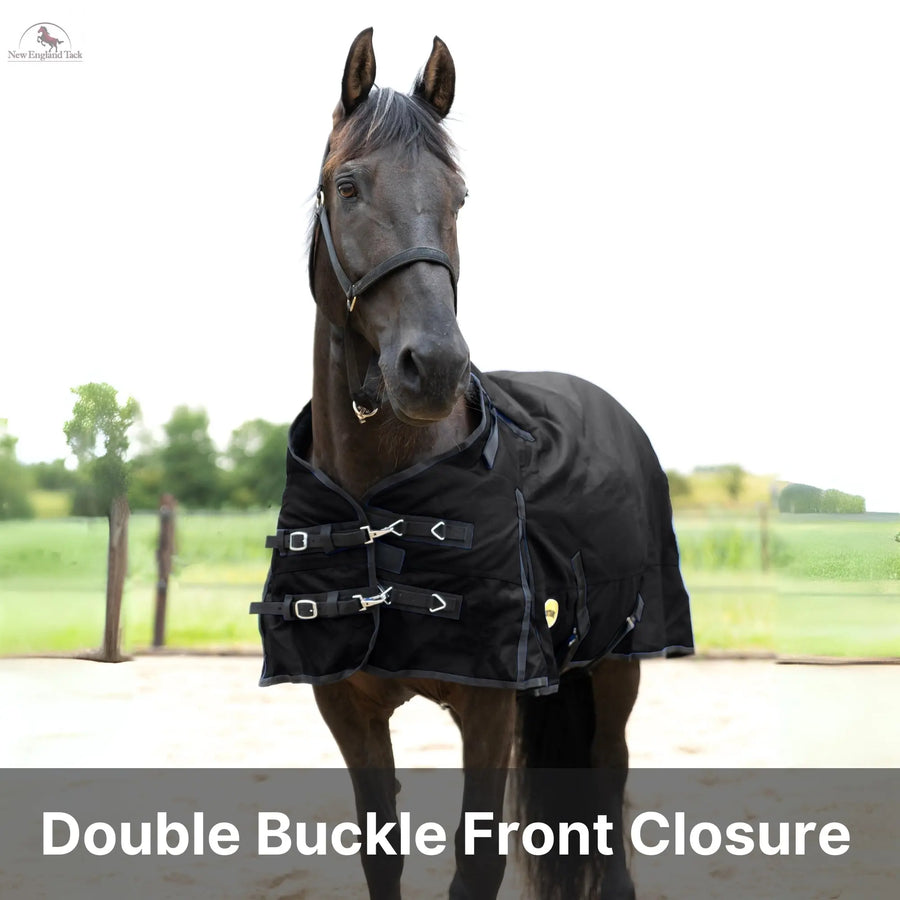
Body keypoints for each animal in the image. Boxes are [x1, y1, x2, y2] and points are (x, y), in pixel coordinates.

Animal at [252, 27, 693, 900]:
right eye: (347, 186)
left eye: (458, 196)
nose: (434, 367)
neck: (380, 500)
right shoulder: (347, 709)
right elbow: (381, 854)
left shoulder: (489, 709)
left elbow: (477, 862)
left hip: (617, 672)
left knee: (608, 798)